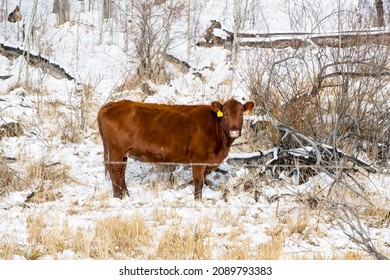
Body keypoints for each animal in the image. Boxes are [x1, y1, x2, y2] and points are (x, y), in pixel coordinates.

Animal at [96, 98, 256, 199]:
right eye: (226, 114)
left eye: (241, 114)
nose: (234, 131)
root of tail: (109, 105)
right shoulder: (198, 159)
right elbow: (198, 181)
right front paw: (198, 201)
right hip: (116, 150)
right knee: (114, 169)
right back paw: (118, 197)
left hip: (123, 153)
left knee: (121, 171)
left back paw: (126, 195)